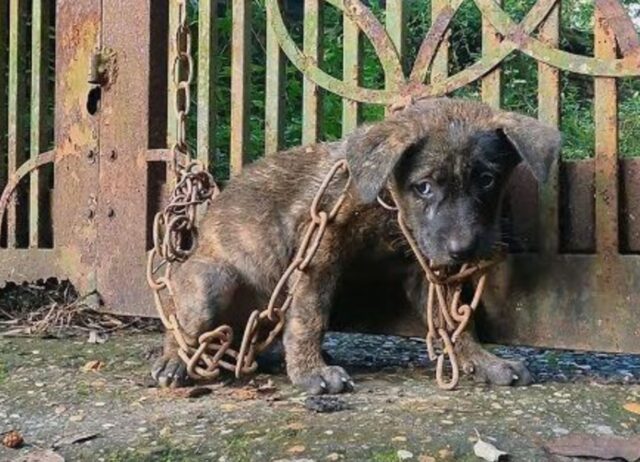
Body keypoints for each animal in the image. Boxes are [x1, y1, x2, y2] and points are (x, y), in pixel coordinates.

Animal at [151, 97, 560, 394]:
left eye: (487, 180)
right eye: (424, 186)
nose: (464, 250)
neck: (388, 204)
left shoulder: (426, 265)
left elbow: (453, 322)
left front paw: (483, 360)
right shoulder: (317, 247)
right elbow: (309, 316)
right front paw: (311, 372)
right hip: (212, 282)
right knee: (182, 326)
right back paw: (174, 362)